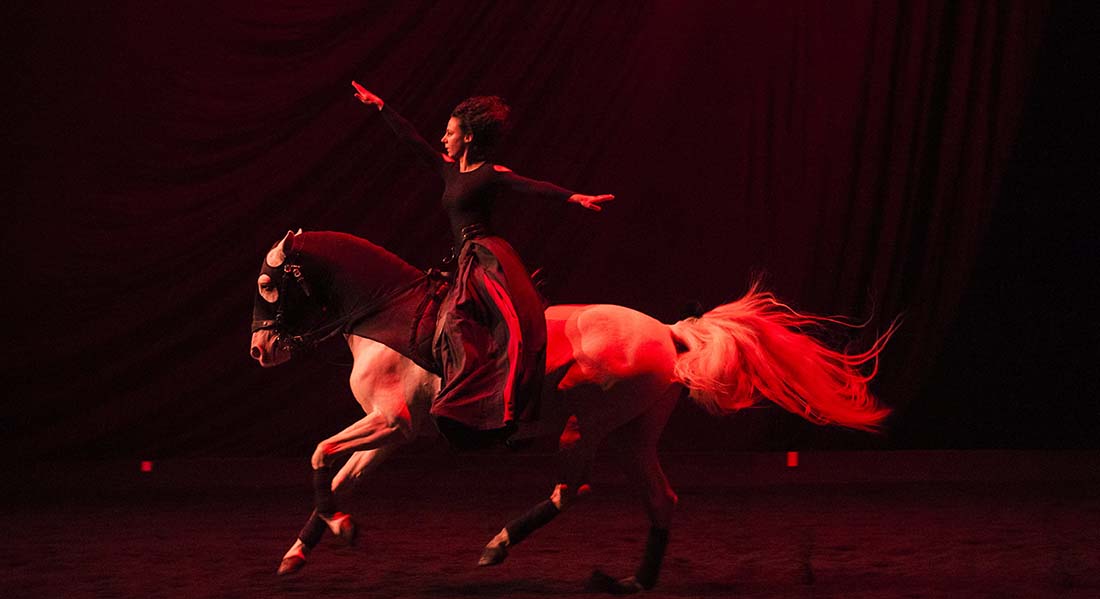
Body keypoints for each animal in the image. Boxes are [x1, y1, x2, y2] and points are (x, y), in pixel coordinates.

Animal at [249, 229, 893, 593]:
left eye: (268, 285)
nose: (259, 351)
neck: (388, 316)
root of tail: (668, 333)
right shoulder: (392, 435)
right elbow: (340, 477)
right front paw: (302, 551)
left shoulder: (392, 422)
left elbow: (319, 455)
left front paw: (340, 529)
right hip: (635, 434)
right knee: (661, 498)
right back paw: (631, 581)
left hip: (588, 426)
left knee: (573, 488)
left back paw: (498, 545)